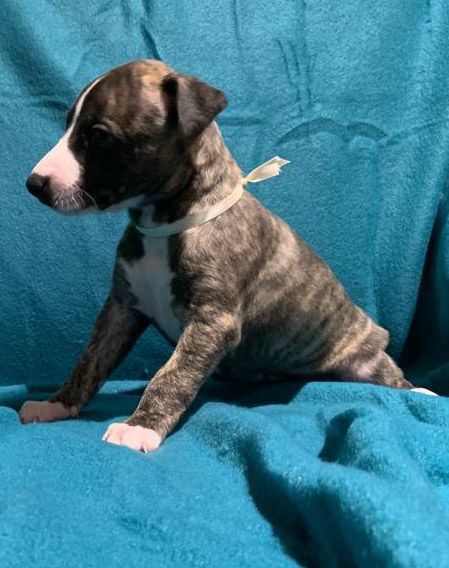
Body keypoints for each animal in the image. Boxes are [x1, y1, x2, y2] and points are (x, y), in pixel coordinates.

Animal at [20, 59, 434, 452]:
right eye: (69, 125)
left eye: (99, 136)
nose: (34, 184)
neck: (163, 226)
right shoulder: (121, 308)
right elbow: (90, 361)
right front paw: (57, 403)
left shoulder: (212, 321)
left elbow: (172, 376)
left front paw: (140, 427)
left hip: (363, 356)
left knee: (388, 376)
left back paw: (419, 391)